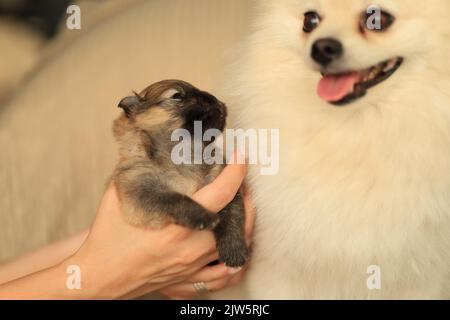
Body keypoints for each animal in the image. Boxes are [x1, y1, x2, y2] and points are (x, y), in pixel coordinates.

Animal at [111, 79, 248, 268]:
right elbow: (174, 199)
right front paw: (203, 216)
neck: (184, 154)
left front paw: (233, 249)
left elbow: (232, 213)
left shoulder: (224, 183)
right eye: (176, 96)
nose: (214, 99)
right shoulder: (140, 190)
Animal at [211, 0, 450, 300]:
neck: (356, 131)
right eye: (310, 21)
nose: (321, 47)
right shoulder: (278, 270)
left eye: (379, 18)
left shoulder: (419, 277)